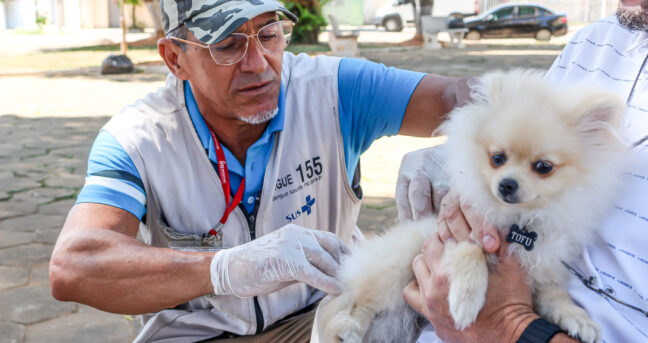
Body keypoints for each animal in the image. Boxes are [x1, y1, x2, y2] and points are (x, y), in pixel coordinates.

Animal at [314, 70, 628, 343]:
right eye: (497, 158)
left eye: (543, 167)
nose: (506, 185)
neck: (518, 222)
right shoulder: (455, 235)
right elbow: (471, 253)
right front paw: (465, 302)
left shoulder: (541, 271)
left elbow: (556, 295)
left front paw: (579, 319)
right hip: (394, 268)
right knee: (359, 302)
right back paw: (348, 328)